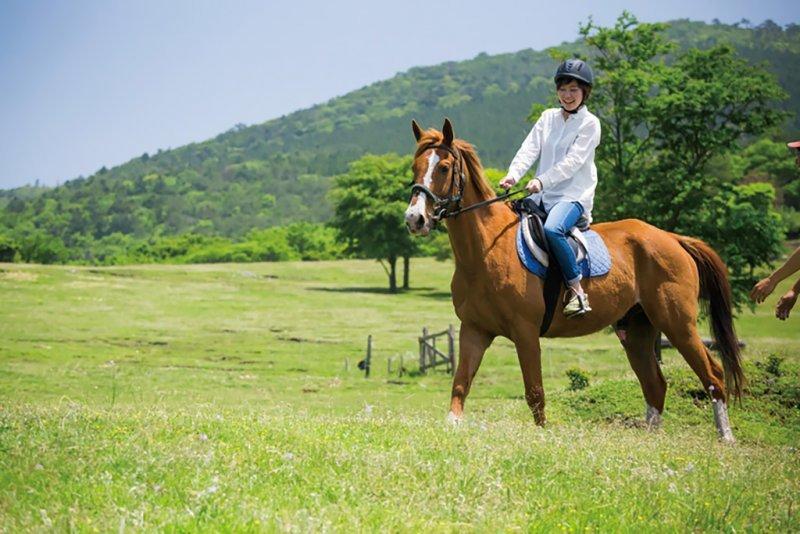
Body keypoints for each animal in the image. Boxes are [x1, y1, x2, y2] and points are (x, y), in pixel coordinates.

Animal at [406, 119, 744, 442]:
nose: (415, 219)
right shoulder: (474, 330)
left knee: (713, 375)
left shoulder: (525, 332)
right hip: (636, 329)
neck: (486, 249)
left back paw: (726, 438)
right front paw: (452, 425)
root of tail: (673, 239)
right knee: (655, 384)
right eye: (415, 167)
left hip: (677, 324)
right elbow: (460, 385)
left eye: (443, 167)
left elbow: (535, 393)